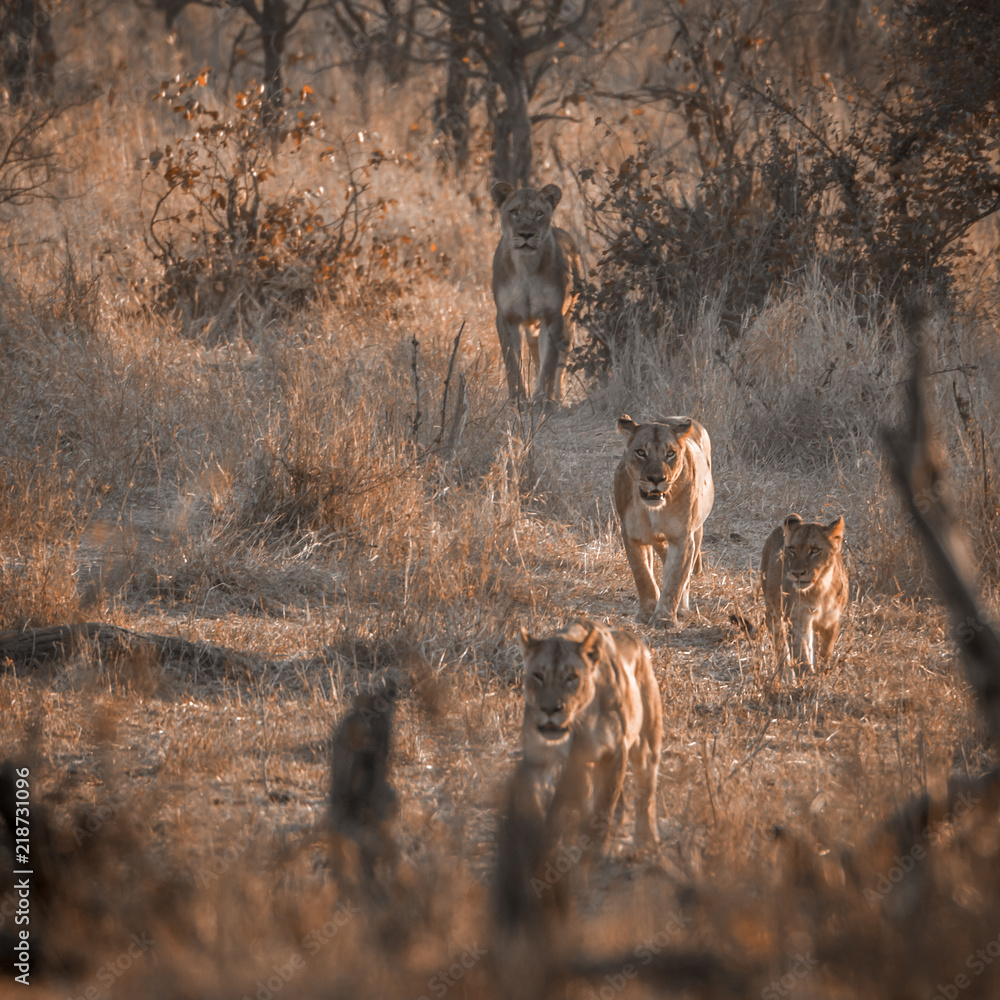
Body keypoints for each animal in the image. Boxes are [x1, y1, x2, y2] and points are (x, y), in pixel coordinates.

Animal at [491, 182, 584, 407]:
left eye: (539, 213)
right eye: (514, 211)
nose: (526, 234)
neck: (526, 267)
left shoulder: (553, 316)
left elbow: (549, 362)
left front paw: (542, 399)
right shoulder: (505, 317)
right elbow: (512, 362)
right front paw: (518, 400)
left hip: (569, 320)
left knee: (561, 361)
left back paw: (559, 398)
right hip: (532, 328)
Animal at [519, 618, 663, 852]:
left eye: (572, 678)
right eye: (538, 676)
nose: (550, 709)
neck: (577, 722)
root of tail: (636, 641)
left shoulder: (615, 752)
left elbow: (603, 809)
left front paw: (594, 852)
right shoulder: (539, 758)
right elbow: (541, 804)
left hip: (646, 743)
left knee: (646, 788)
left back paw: (646, 839)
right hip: (586, 764)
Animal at [614, 415, 715, 627]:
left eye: (670, 454)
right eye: (641, 452)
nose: (656, 478)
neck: (652, 509)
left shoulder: (682, 538)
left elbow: (675, 579)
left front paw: (664, 618)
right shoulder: (632, 535)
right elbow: (643, 575)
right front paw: (646, 613)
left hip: (697, 531)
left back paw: (682, 609)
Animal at [761, 513, 848, 674]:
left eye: (815, 550)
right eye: (792, 549)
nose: (797, 573)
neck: (820, 589)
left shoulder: (831, 620)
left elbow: (825, 651)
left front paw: (821, 672)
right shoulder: (798, 618)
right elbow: (800, 652)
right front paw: (807, 676)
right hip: (774, 608)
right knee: (778, 640)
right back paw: (784, 674)